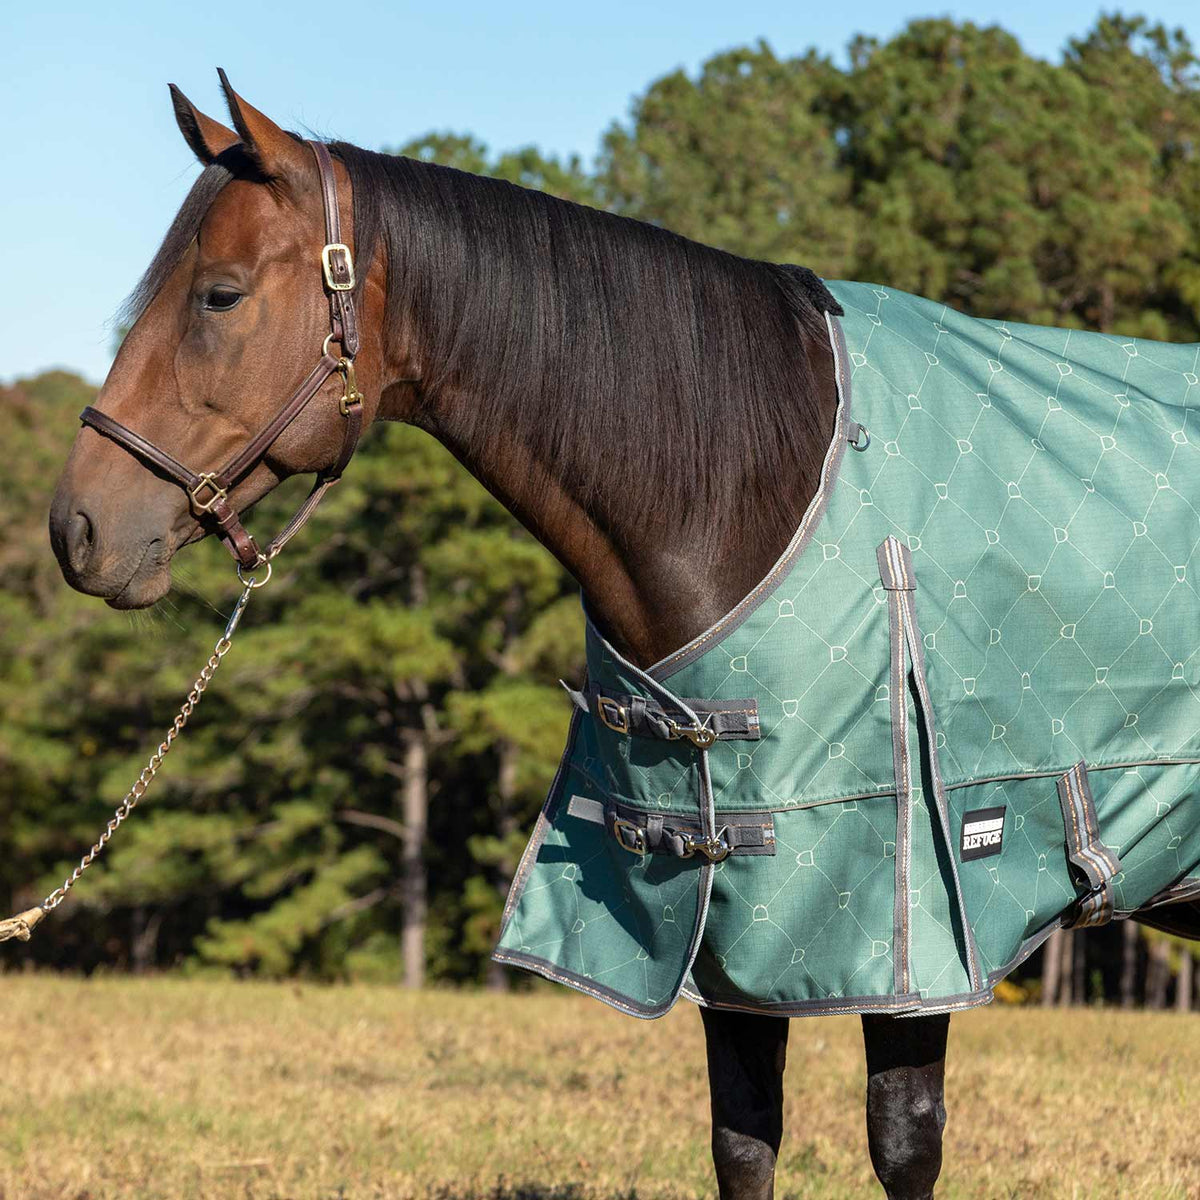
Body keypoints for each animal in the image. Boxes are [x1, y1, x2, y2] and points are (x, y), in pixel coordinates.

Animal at [49, 73, 1073, 1200]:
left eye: (220, 295)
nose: (76, 529)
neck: (756, 478)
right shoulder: (733, 924)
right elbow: (744, 1139)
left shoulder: (911, 936)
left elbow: (903, 1143)